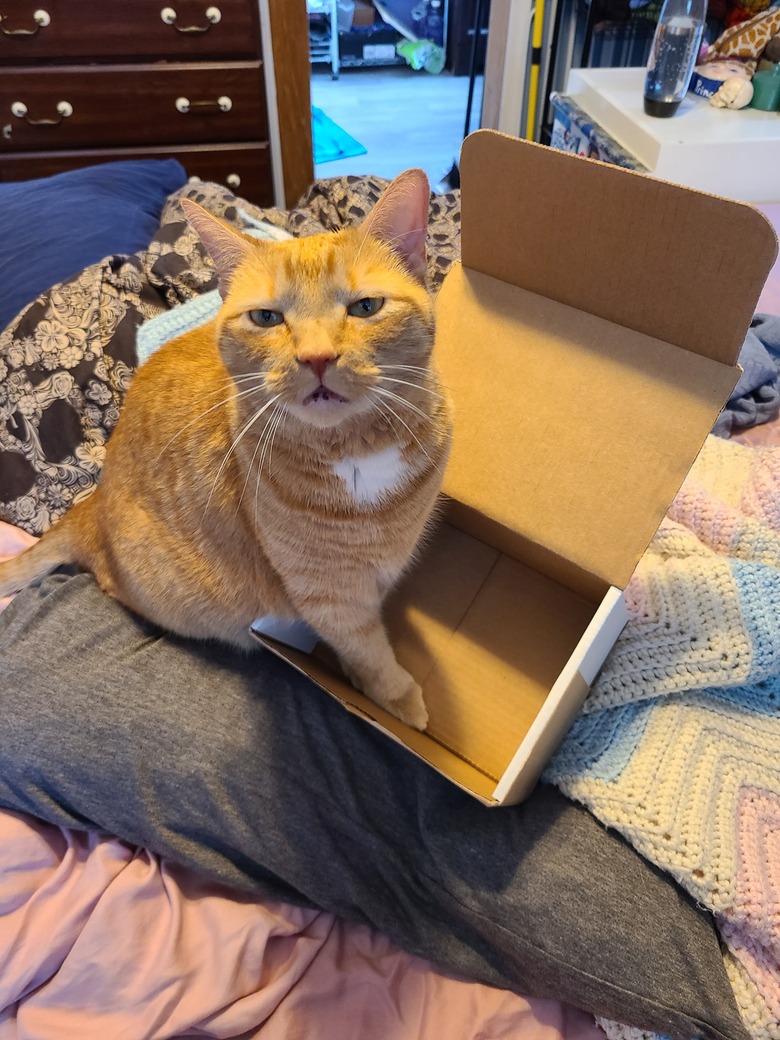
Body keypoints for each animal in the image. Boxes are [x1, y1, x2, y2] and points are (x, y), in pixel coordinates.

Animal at [0, 170, 451, 732]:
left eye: (365, 307)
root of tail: (92, 505)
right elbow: (366, 649)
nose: (317, 358)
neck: (355, 453)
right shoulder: (329, 593)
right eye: (266, 318)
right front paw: (395, 699)